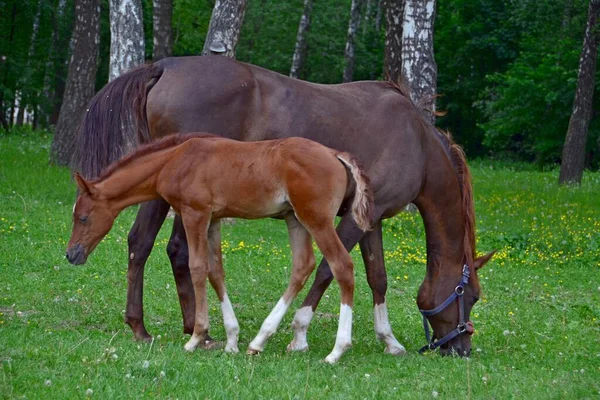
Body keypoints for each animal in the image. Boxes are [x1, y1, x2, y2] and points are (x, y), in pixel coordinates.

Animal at [67, 134, 376, 362]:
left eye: (82, 217)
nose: (71, 254)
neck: (174, 160)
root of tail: (334, 154)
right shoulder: (213, 219)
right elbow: (216, 271)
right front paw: (231, 339)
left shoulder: (195, 214)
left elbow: (197, 267)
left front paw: (196, 337)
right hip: (295, 219)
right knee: (302, 266)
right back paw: (259, 340)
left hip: (316, 219)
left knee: (342, 266)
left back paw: (337, 350)